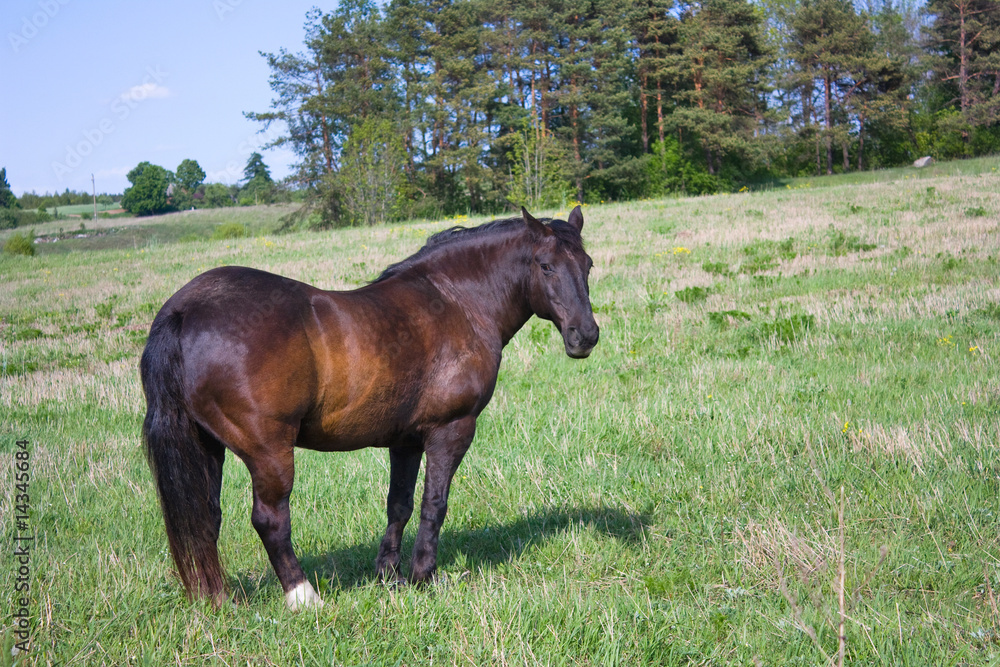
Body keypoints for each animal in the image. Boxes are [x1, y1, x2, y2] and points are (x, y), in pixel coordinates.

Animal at [140, 206, 599, 610]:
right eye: (545, 266)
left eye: (588, 265)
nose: (586, 335)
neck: (456, 301)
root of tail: (184, 309)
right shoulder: (451, 429)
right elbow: (434, 503)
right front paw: (423, 575)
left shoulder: (406, 441)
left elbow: (400, 504)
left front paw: (388, 575)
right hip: (268, 452)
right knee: (269, 520)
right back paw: (303, 597)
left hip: (207, 446)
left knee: (205, 519)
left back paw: (218, 599)